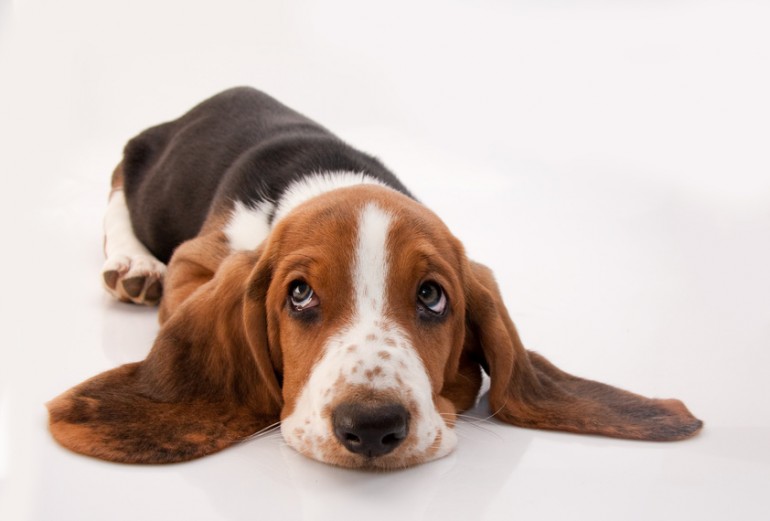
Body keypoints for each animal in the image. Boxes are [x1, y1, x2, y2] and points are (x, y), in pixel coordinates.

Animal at [45, 85, 700, 468]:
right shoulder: (198, 257)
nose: (372, 427)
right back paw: (132, 266)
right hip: (142, 172)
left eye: (432, 296)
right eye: (299, 294)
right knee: (115, 189)